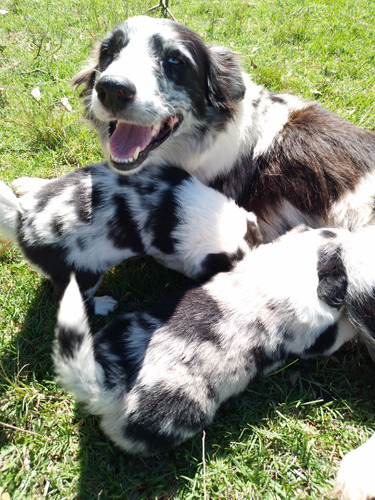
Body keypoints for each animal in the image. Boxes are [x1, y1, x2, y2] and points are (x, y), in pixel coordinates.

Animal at [52, 225, 375, 456]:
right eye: (343, 245)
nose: (355, 233)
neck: (292, 263)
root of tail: (109, 385)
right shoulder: (316, 339)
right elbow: (341, 328)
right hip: (183, 413)